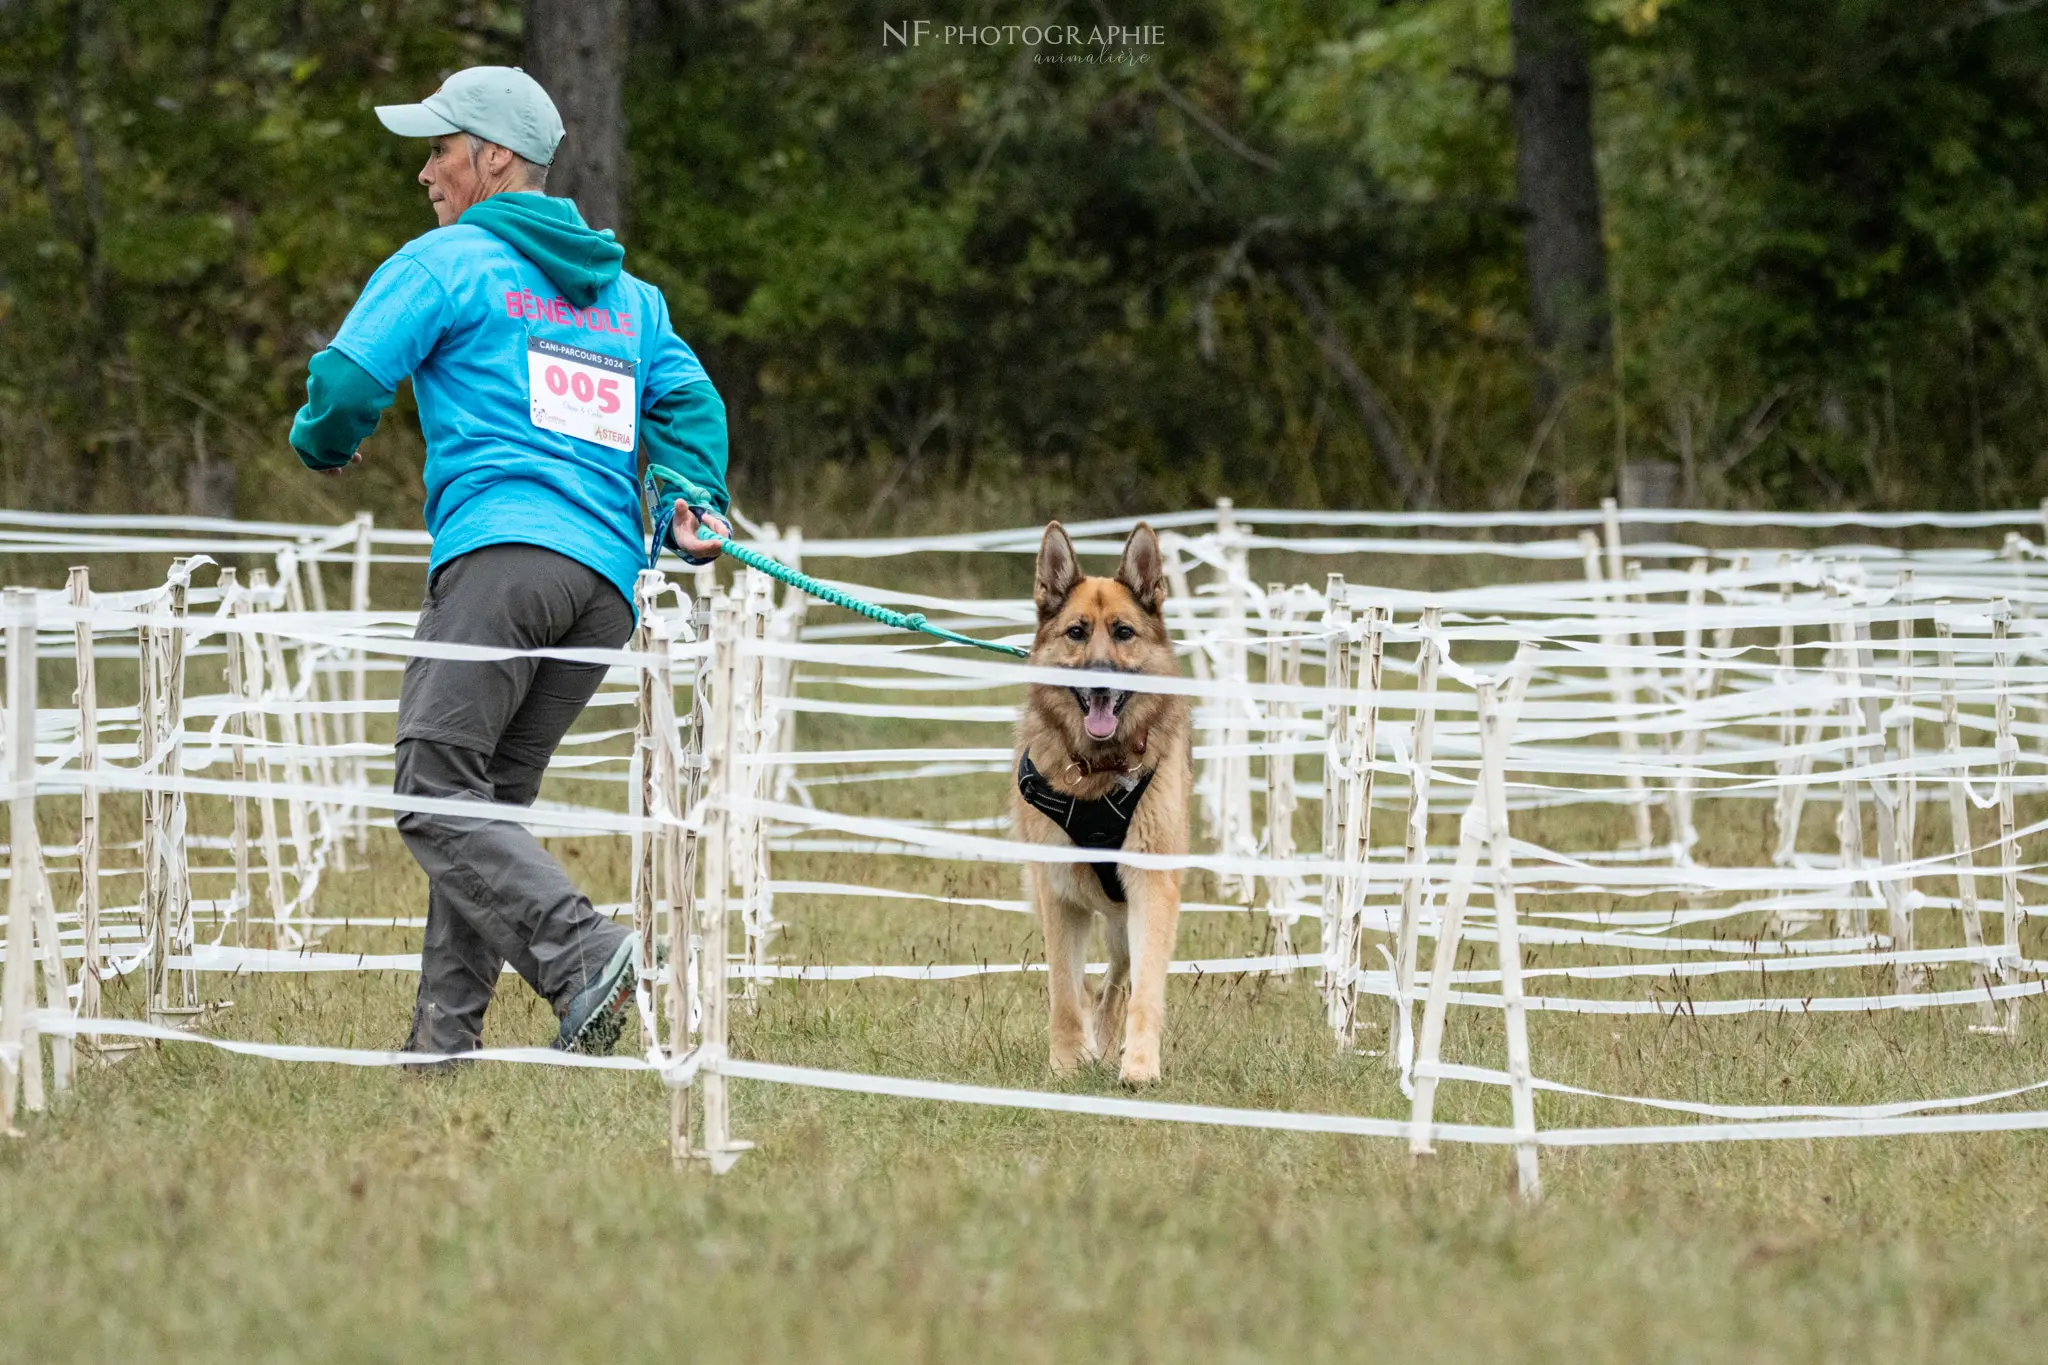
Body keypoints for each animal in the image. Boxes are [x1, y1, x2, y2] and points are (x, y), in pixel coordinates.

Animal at [1015, 523, 1196, 1088]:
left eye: (1123, 632)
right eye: (1076, 632)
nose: (1099, 680)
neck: (1098, 768)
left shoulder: (1151, 887)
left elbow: (1145, 990)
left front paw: (1139, 1065)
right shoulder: (1058, 896)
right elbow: (1063, 993)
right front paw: (1067, 1064)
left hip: (1125, 913)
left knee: (1119, 977)